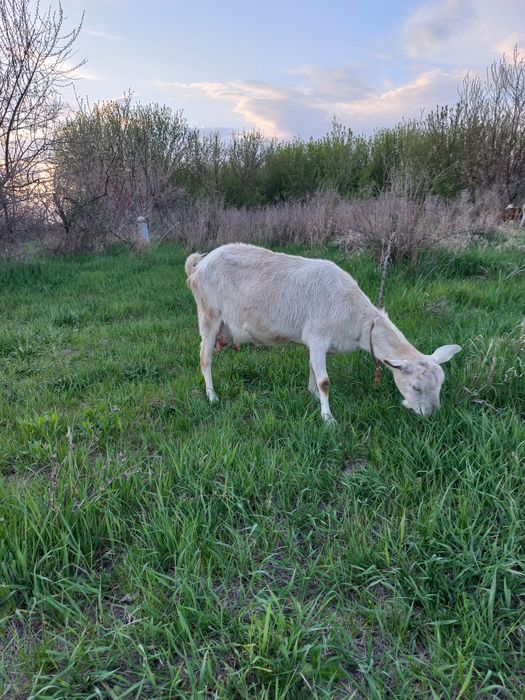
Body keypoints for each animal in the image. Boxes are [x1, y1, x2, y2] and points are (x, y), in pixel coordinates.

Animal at [185, 244, 461, 423]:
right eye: (415, 387)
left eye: (440, 384)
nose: (431, 415)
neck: (355, 317)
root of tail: (198, 266)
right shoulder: (318, 337)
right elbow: (325, 382)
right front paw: (328, 419)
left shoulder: (315, 344)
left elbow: (313, 371)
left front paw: (313, 397)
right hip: (209, 315)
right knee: (204, 358)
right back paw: (212, 397)